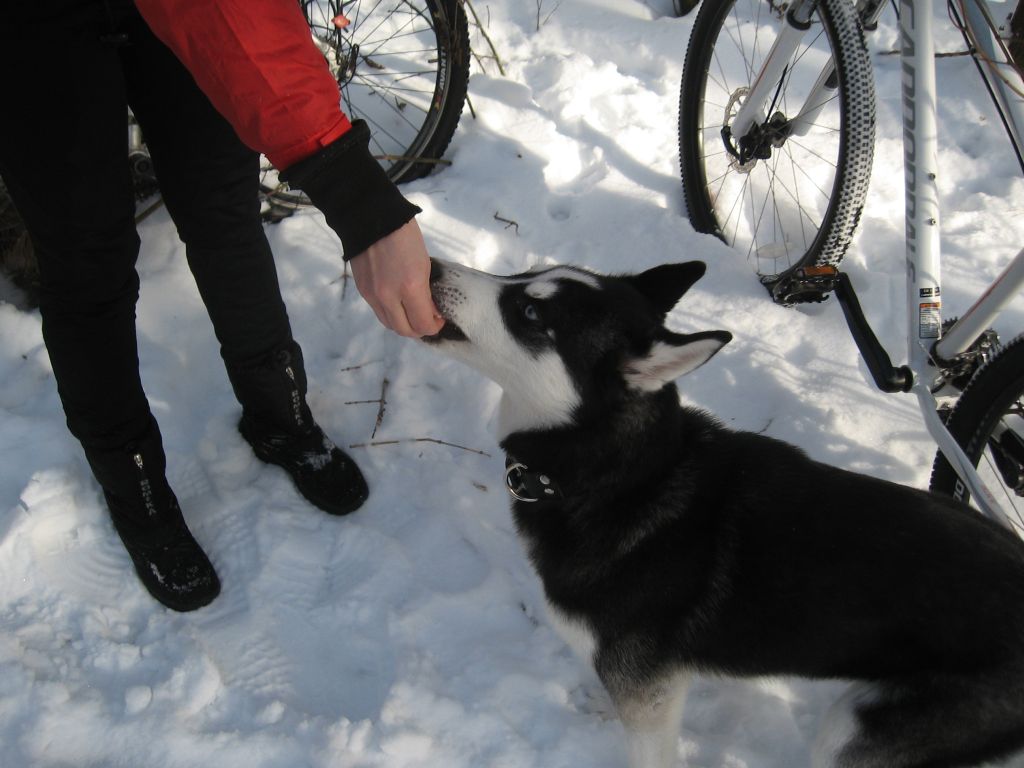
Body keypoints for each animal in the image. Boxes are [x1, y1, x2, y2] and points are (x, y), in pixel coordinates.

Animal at [420, 258, 1024, 768]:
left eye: (530, 313)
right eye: (524, 273)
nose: (429, 267)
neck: (615, 477)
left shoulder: (648, 699)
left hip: (852, 734)